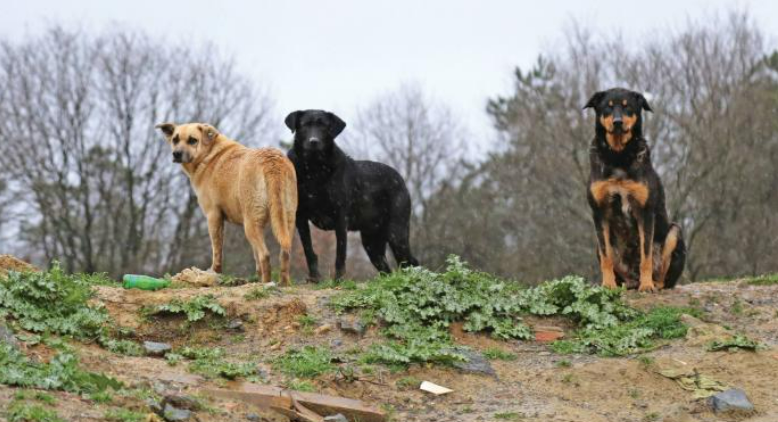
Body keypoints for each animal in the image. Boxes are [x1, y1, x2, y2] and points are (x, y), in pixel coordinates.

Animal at [155, 123, 298, 286]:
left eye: (192, 140)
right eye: (175, 139)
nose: (176, 154)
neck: (209, 155)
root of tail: (272, 161)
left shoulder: (213, 216)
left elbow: (217, 251)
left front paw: (214, 273)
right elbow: (255, 260)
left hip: (251, 224)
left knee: (265, 255)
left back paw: (266, 283)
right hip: (286, 221)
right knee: (284, 254)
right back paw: (282, 284)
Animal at [284, 109, 416, 280]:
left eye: (324, 126)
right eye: (305, 125)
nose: (314, 141)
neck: (314, 168)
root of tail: (400, 179)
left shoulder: (340, 218)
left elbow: (340, 254)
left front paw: (338, 280)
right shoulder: (300, 217)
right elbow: (309, 250)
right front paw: (315, 278)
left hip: (396, 233)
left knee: (410, 262)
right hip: (371, 242)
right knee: (386, 269)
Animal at [584, 87, 684, 292]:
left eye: (627, 106)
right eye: (608, 107)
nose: (617, 122)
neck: (618, 154)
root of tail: (632, 278)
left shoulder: (645, 211)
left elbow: (646, 256)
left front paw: (646, 286)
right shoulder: (599, 212)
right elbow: (606, 257)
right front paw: (607, 284)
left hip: (674, 232)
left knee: (663, 276)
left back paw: (652, 283)